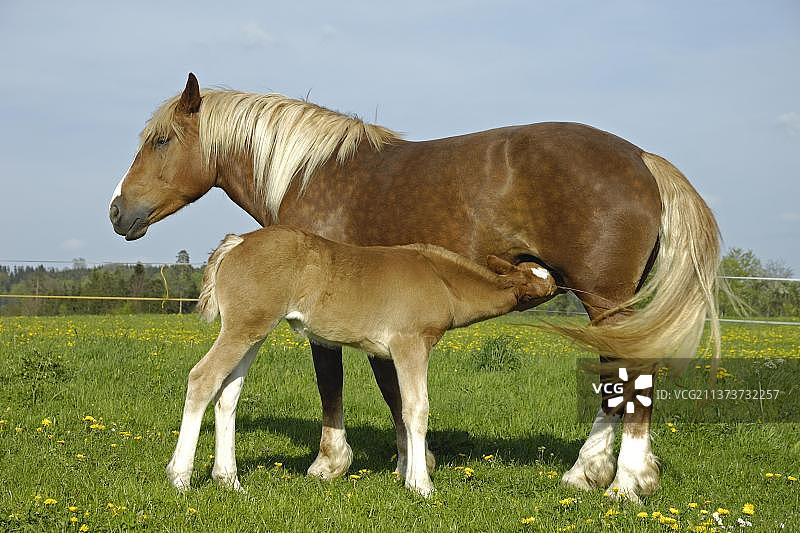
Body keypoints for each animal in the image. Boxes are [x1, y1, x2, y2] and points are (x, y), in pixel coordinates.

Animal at [166, 225, 557, 496]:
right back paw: (180, 477)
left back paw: (228, 480)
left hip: (253, 331)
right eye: (547, 285)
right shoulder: (410, 344)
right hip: (243, 328)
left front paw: (409, 473)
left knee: (228, 395)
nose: (564, 283)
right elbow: (416, 409)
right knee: (202, 379)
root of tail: (238, 242)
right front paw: (421, 485)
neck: (441, 280)